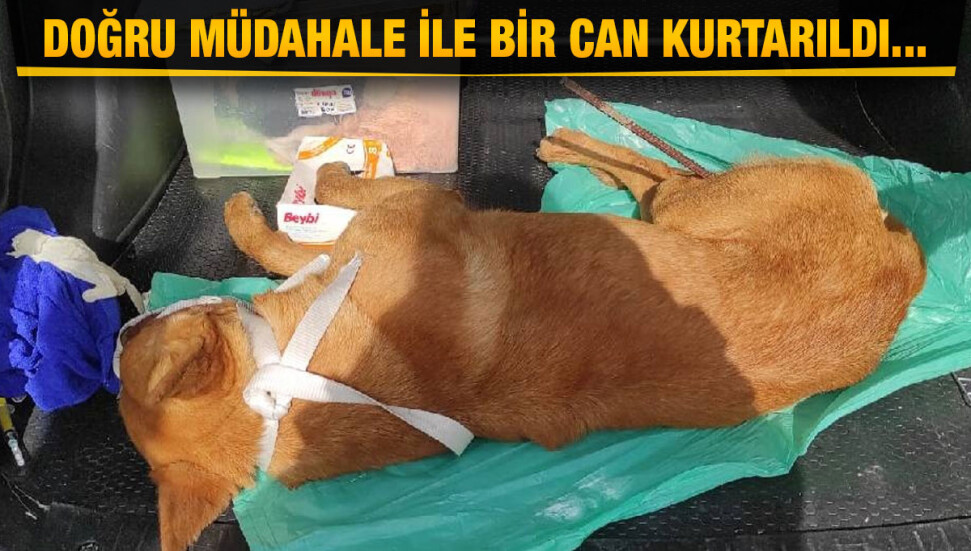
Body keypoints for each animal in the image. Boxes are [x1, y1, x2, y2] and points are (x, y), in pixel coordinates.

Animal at [116, 128, 925, 550]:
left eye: (144, 335)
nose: (123, 321)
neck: (289, 370)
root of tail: (905, 266)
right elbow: (294, 248)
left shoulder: (417, 202)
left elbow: (299, 236)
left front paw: (291, 197)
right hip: (683, 210)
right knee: (655, 174)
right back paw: (573, 141)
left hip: (688, 208)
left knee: (661, 170)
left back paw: (577, 139)